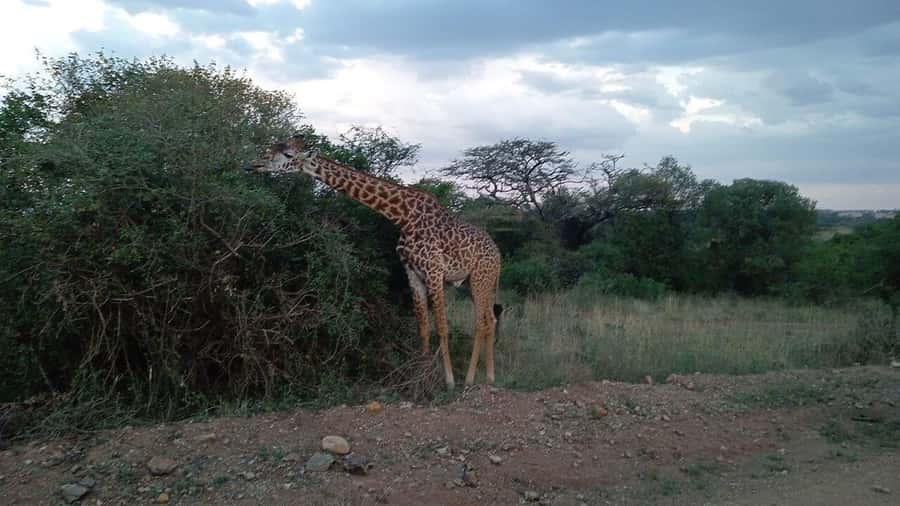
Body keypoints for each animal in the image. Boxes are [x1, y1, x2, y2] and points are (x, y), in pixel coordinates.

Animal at [250, 135, 502, 389]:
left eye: (288, 155)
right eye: (274, 148)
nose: (256, 164)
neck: (403, 216)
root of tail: (499, 256)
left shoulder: (434, 270)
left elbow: (442, 327)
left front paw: (448, 381)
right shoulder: (412, 272)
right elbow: (423, 327)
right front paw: (421, 374)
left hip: (480, 279)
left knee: (480, 323)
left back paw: (471, 379)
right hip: (475, 282)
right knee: (490, 319)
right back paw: (489, 376)